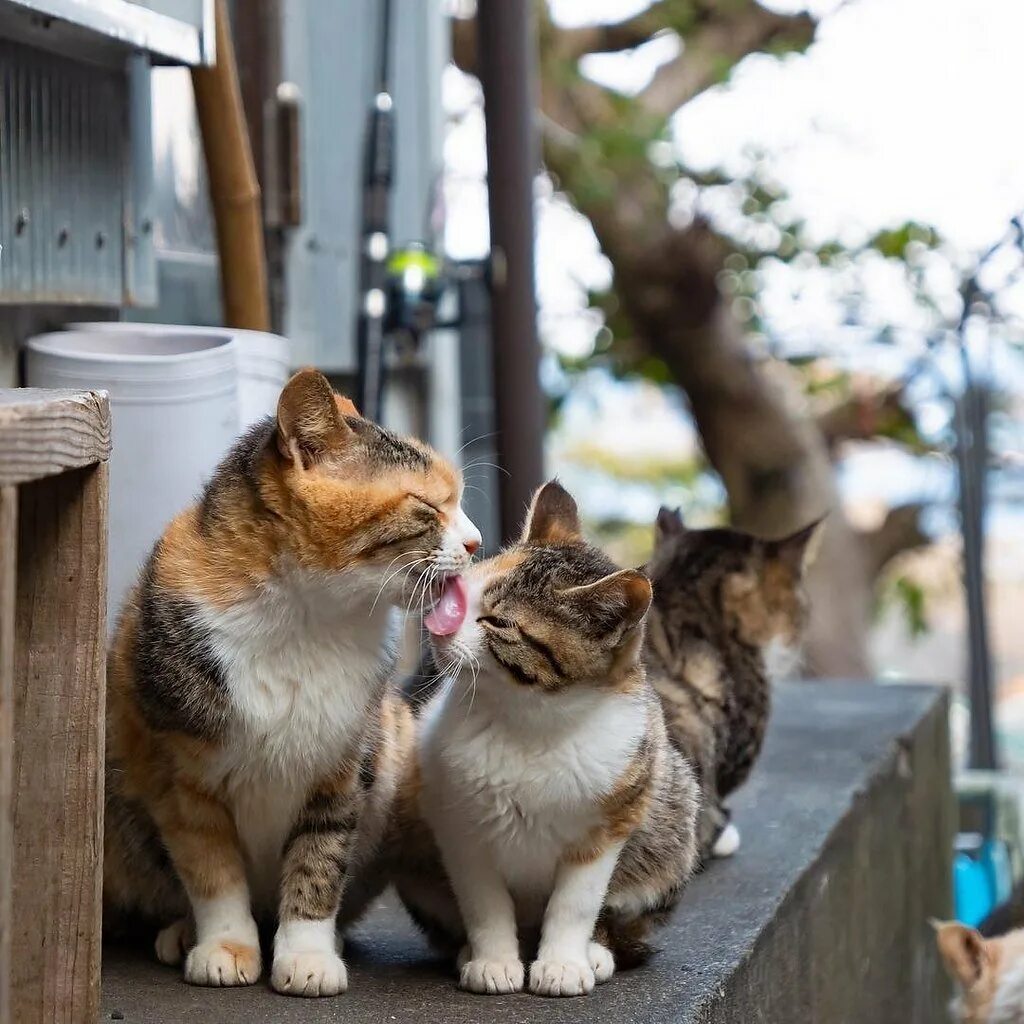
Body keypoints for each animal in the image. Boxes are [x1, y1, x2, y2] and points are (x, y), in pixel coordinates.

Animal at [105, 366, 481, 991]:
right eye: (427, 504)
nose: (476, 543)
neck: (306, 620)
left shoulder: (341, 766)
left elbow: (317, 864)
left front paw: (306, 956)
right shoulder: (179, 777)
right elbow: (211, 871)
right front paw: (225, 947)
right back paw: (182, 933)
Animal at [387, 483, 700, 995]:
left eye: (498, 623)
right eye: (464, 591)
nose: (437, 622)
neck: (528, 721)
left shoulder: (607, 826)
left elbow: (575, 904)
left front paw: (564, 963)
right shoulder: (460, 827)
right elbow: (485, 903)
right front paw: (494, 960)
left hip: (673, 822)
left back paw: (598, 952)